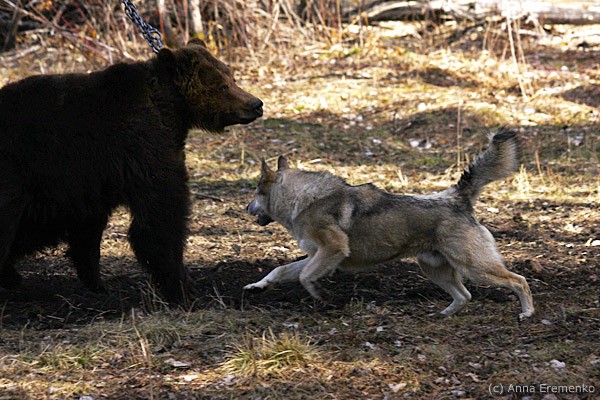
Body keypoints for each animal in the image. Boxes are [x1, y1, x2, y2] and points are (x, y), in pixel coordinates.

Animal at [0, 39, 263, 303]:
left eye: (232, 78)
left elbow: (88, 231)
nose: (256, 104)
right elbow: (162, 217)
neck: (172, 109)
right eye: (222, 86)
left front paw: (96, 281)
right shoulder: (141, 150)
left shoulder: (93, 181)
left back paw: (12, 276)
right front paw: (181, 286)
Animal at [245, 129, 534, 319]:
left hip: (475, 268)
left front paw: (320, 295)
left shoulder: (333, 251)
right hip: (434, 269)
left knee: (519, 280)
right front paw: (256, 286)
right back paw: (442, 315)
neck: (304, 200)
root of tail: (456, 197)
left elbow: (305, 276)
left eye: (256, 191)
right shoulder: (317, 255)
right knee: (465, 296)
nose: (245, 209)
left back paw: (527, 313)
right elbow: (280, 271)